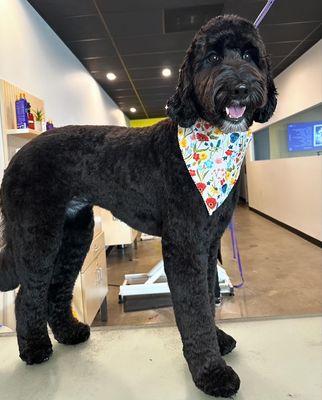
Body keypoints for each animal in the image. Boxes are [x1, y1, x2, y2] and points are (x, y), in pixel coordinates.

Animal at [0, 14, 276, 396]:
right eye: (212, 58)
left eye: (250, 56)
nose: (239, 88)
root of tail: (16, 157)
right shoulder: (185, 245)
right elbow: (194, 308)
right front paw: (211, 372)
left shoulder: (208, 243)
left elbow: (209, 296)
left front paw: (218, 341)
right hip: (37, 234)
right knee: (27, 295)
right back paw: (35, 348)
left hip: (75, 235)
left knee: (57, 287)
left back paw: (70, 333)